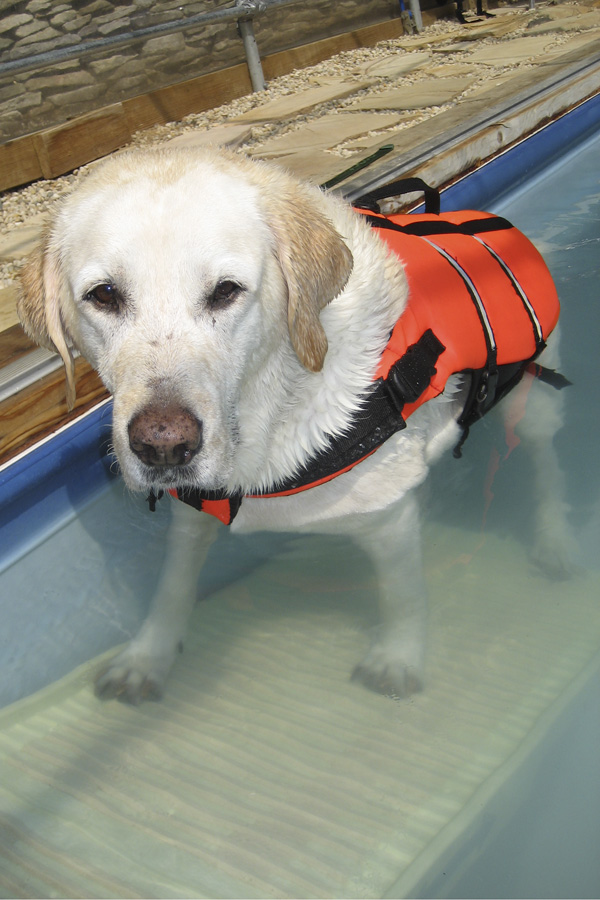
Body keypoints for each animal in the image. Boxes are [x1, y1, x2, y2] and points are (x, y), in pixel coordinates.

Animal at [19, 148, 572, 704]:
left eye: (226, 291)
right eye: (104, 295)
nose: (164, 446)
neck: (271, 407)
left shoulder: (386, 518)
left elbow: (403, 594)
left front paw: (398, 657)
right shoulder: (193, 516)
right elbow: (172, 586)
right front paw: (146, 656)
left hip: (534, 397)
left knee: (546, 463)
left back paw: (553, 540)